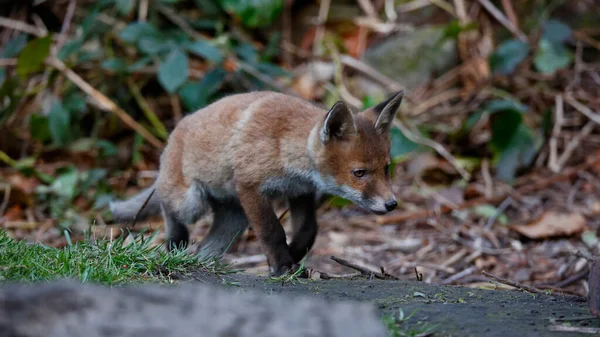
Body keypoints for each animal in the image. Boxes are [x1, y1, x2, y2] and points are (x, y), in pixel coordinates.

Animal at [110, 89, 406, 276]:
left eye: (386, 168)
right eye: (359, 173)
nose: (391, 204)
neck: (285, 147)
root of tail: (174, 132)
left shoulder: (300, 193)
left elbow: (308, 231)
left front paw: (292, 257)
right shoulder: (250, 186)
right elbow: (273, 231)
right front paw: (282, 267)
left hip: (235, 218)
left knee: (205, 248)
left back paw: (197, 264)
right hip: (191, 203)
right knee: (166, 205)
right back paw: (174, 244)